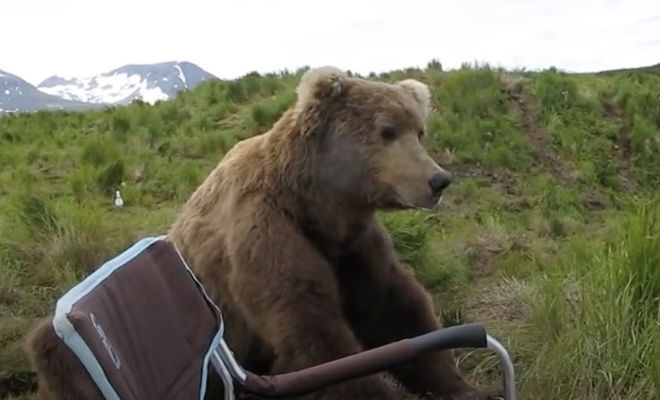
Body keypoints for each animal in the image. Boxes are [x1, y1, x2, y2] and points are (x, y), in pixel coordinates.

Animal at [25, 67, 498, 398]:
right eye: (387, 131)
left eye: (419, 130)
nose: (438, 180)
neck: (315, 204)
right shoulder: (264, 232)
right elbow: (314, 335)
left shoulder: (352, 245)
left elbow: (395, 310)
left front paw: (463, 386)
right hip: (69, 353)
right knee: (53, 350)